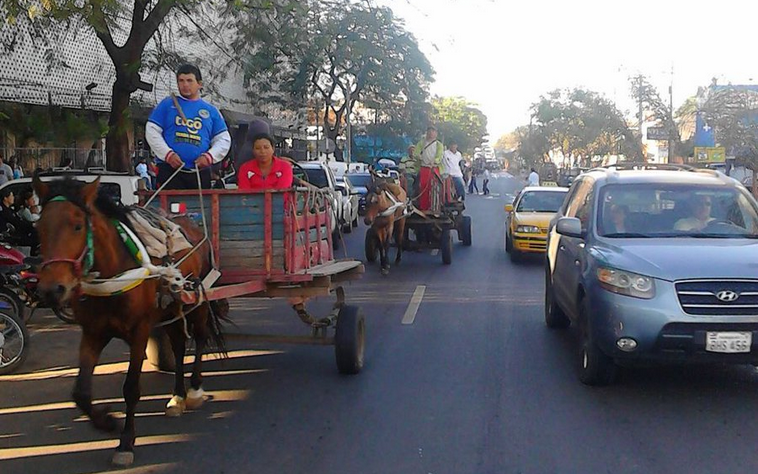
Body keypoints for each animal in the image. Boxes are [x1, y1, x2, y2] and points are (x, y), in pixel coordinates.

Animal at [32, 177, 226, 466]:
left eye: (78, 225)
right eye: (39, 227)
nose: (51, 290)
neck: (114, 271)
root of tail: (192, 225)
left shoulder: (139, 331)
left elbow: (131, 388)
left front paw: (125, 442)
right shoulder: (92, 332)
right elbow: (81, 393)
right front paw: (107, 421)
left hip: (197, 300)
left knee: (200, 337)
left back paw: (193, 391)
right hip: (171, 311)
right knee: (179, 347)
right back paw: (177, 397)